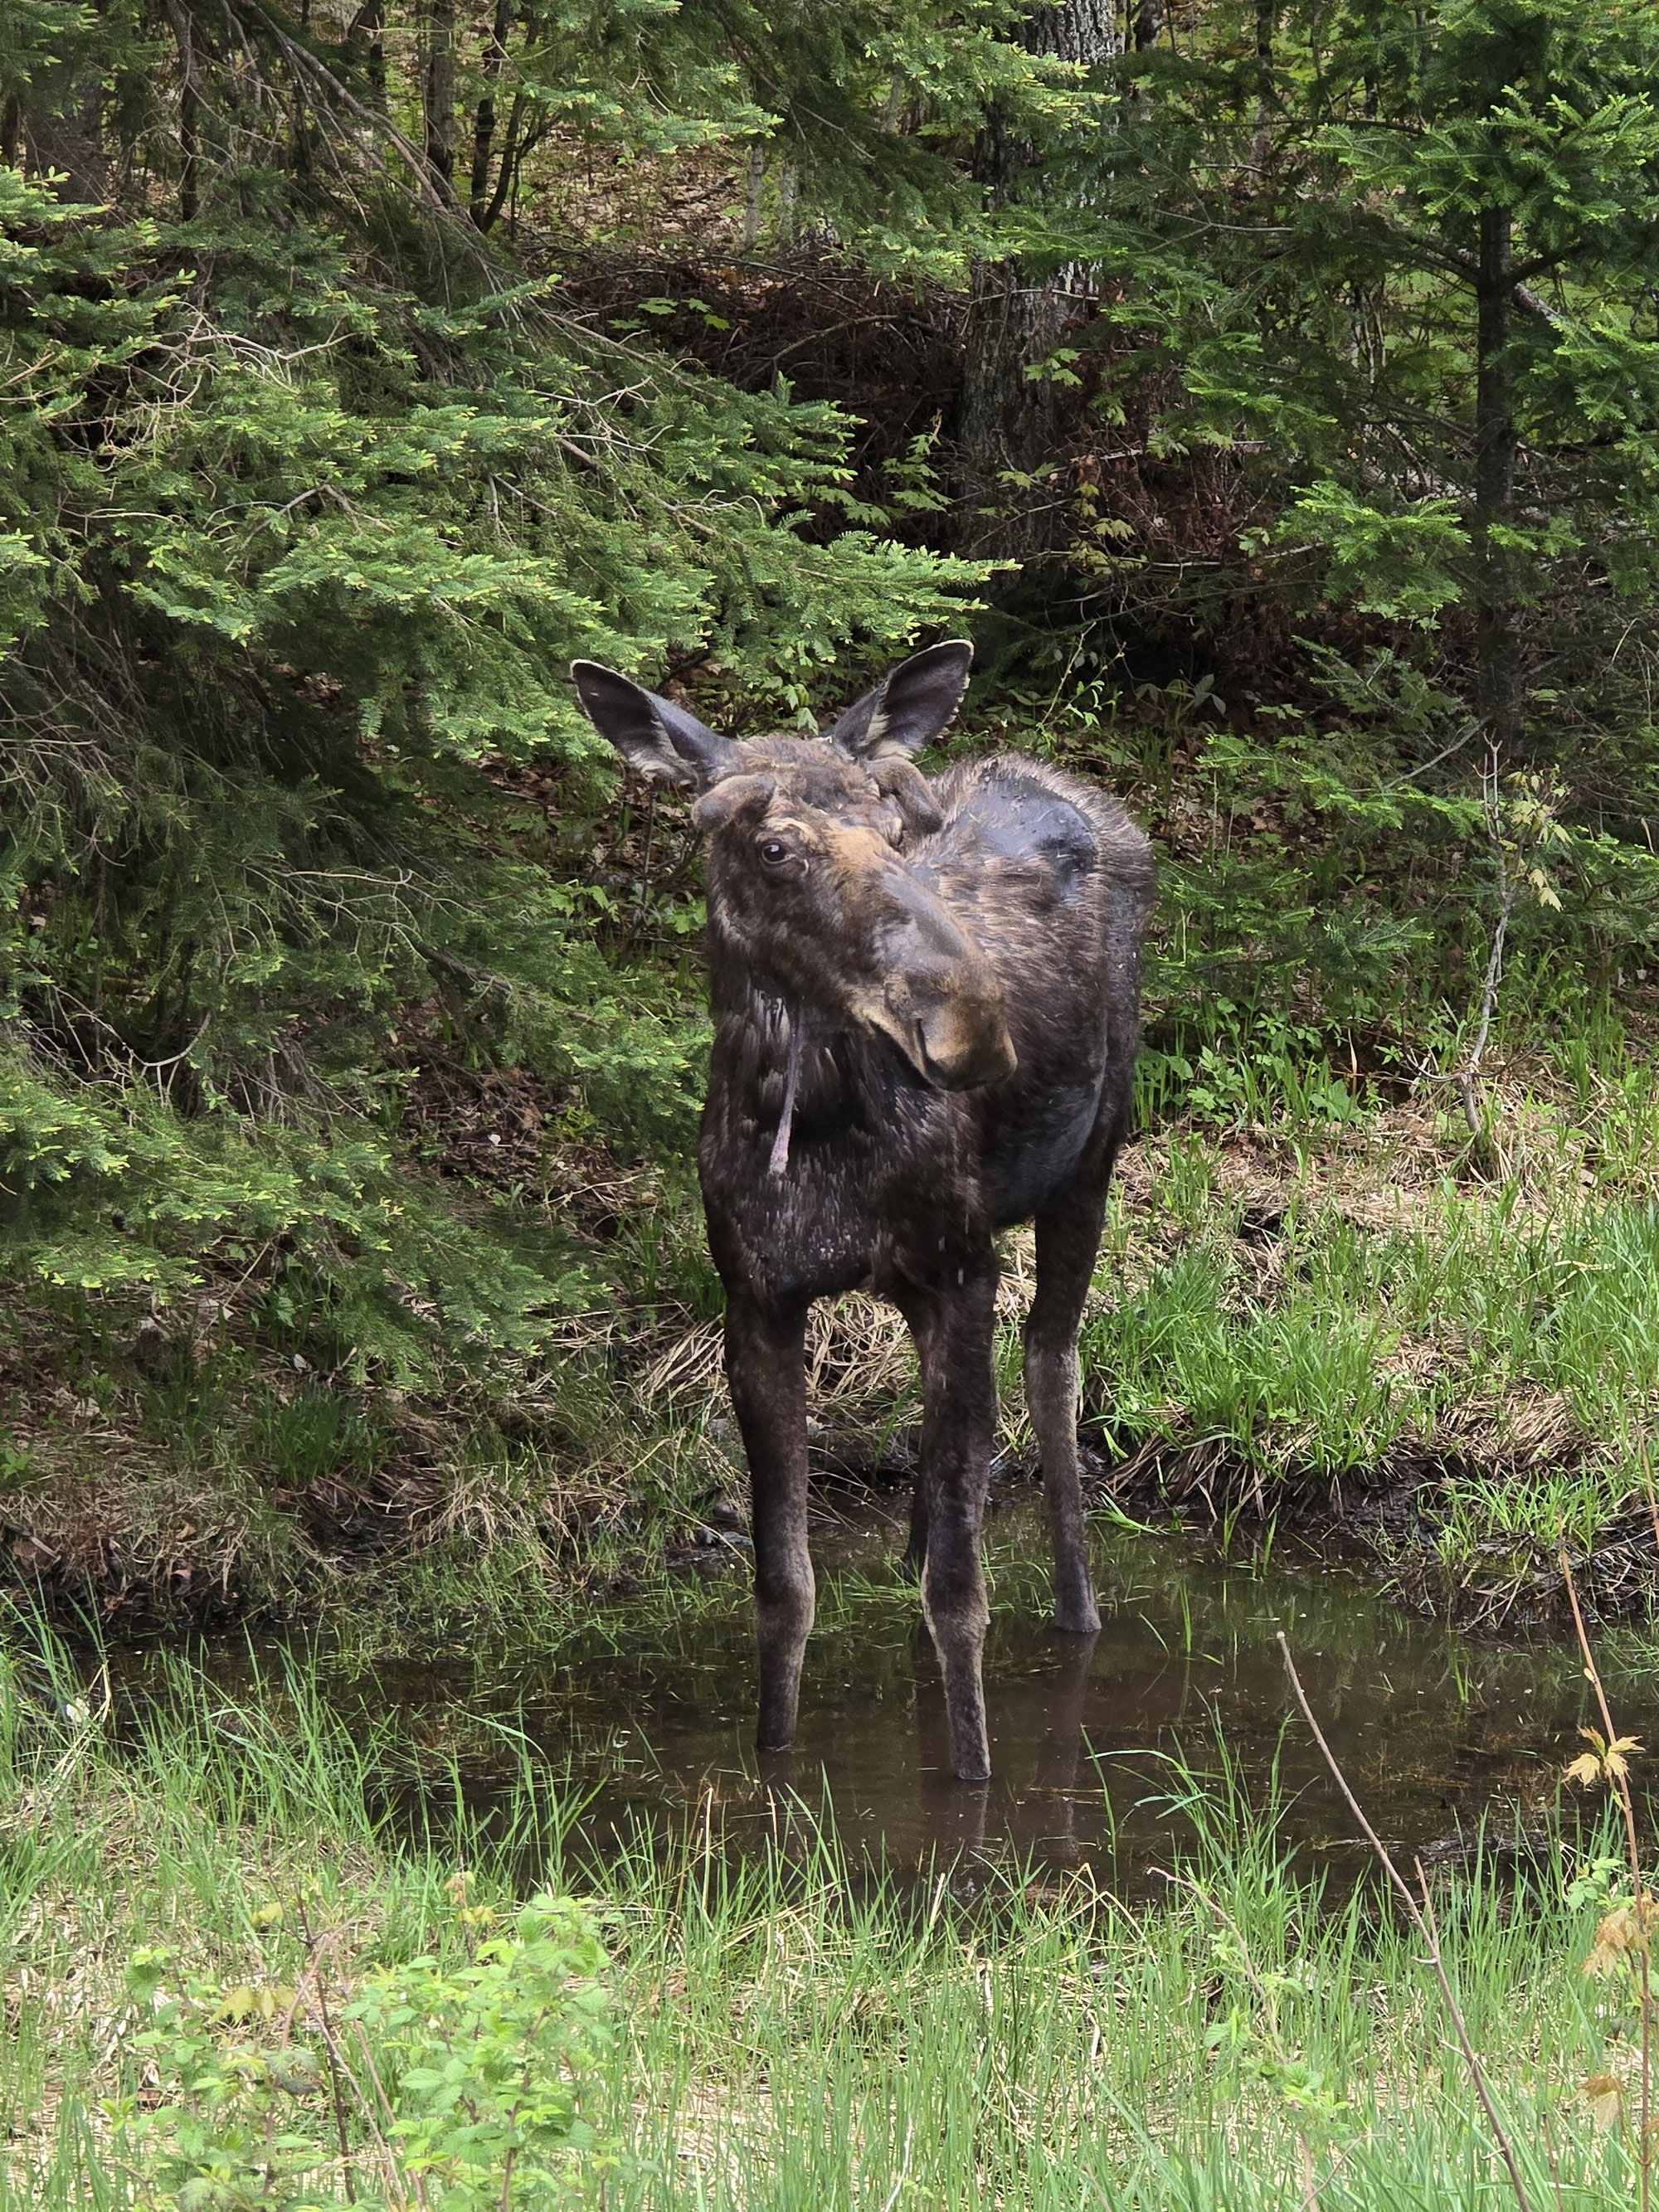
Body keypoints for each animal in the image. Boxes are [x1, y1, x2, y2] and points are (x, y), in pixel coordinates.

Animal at [572, 641, 1154, 1782]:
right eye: (771, 847)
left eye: (895, 835)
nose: (969, 1028)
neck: (814, 1137)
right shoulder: (755, 1301)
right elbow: (783, 1586)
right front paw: (774, 1761)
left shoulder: (961, 1272)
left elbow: (961, 1593)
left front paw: (971, 1779)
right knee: (941, 1457)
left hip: (1088, 1165)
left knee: (1051, 1365)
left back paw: (1077, 1611)